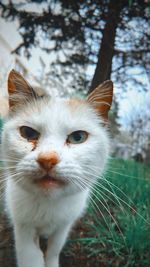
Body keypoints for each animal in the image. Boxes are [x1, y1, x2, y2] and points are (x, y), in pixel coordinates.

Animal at [1, 70, 112, 267]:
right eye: (28, 133)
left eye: (78, 137)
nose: (47, 160)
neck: (49, 205)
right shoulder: (23, 227)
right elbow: (30, 256)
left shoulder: (64, 226)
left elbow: (54, 249)